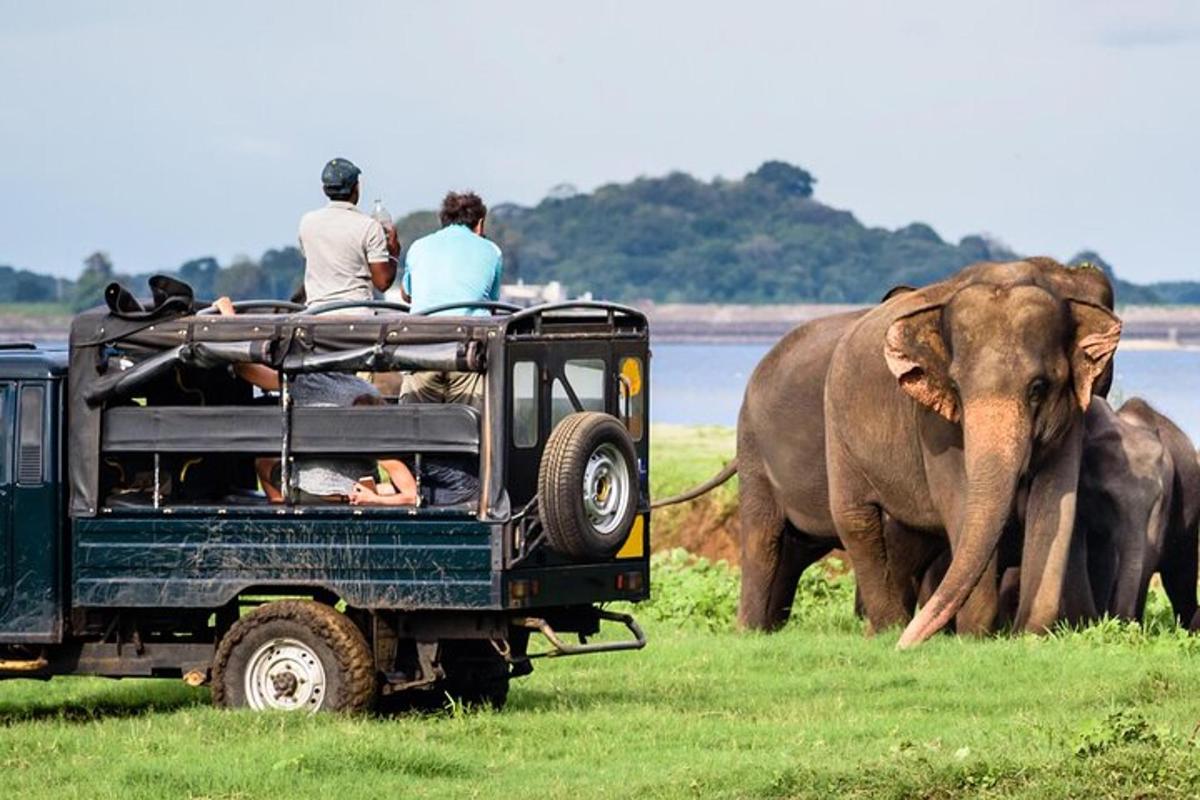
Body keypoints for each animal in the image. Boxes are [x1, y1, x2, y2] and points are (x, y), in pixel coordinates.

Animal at [820, 260, 1118, 647]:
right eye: (956, 388)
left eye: (1038, 388)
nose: (906, 648)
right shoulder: (934, 423)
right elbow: (959, 502)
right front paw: (974, 638)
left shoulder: (1072, 416)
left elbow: (1055, 503)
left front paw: (1027, 636)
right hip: (837, 429)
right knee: (855, 519)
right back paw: (889, 630)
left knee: (906, 539)